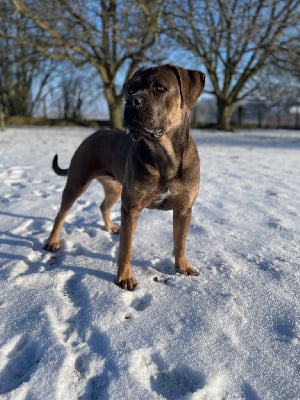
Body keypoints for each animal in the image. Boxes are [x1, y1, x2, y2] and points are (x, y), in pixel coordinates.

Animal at [44, 65, 205, 290]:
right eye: (130, 90)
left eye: (160, 88)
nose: (132, 102)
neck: (164, 156)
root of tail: (92, 135)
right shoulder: (131, 208)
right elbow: (126, 248)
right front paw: (125, 278)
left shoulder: (183, 209)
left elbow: (180, 242)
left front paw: (183, 268)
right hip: (77, 181)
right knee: (61, 213)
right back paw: (52, 242)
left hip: (114, 188)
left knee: (104, 206)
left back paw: (110, 227)